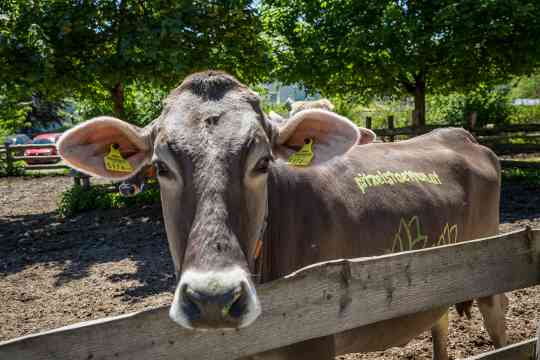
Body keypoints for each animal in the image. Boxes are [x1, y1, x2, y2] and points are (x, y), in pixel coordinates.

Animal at [58, 71, 506, 360]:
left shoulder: (316, 342)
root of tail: (458, 134)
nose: (213, 299)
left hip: (491, 272)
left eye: (262, 162)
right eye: (161, 166)